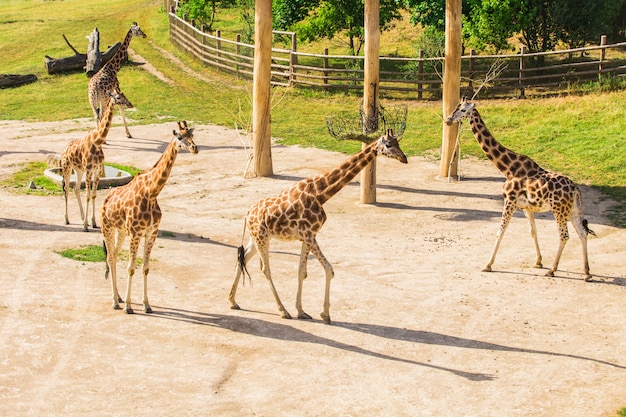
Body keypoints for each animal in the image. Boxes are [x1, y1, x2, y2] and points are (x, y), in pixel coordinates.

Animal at [60, 89, 132, 231]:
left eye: (124, 95)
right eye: (118, 97)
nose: (130, 104)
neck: (97, 142)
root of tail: (64, 150)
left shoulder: (97, 170)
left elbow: (93, 195)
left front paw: (92, 222)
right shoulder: (89, 170)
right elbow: (88, 196)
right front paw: (85, 226)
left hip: (78, 170)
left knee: (76, 188)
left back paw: (83, 218)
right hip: (67, 167)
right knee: (66, 189)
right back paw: (67, 219)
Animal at [100, 121, 197, 312]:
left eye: (192, 135)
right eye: (179, 136)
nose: (195, 148)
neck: (151, 193)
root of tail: (105, 200)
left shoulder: (151, 233)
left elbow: (145, 268)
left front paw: (146, 305)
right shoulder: (136, 233)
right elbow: (131, 268)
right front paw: (129, 306)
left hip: (121, 231)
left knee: (114, 255)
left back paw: (118, 297)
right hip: (107, 227)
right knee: (109, 256)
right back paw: (115, 301)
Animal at [227, 128, 408, 324]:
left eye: (398, 142)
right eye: (388, 144)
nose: (404, 158)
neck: (320, 194)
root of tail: (247, 214)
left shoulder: (308, 236)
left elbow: (302, 272)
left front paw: (301, 311)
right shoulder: (309, 235)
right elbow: (329, 269)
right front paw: (325, 314)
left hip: (257, 238)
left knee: (243, 258)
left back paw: (232, 301)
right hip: (261, 238)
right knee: (265, 269)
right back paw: (282, 310)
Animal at [442, 96, 592, 280]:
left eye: (463, 110)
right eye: (456, 107)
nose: (448, 120)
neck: (508, 168)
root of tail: (576, 190)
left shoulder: (510, 201)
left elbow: (501, 231)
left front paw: (488, 265)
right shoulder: (527, 207)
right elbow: (532, 231)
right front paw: (538, 261)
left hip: (559, 210)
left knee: (564, 235)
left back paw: (553, 270)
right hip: (573, 210)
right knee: (582, 233)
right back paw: (586, 273)